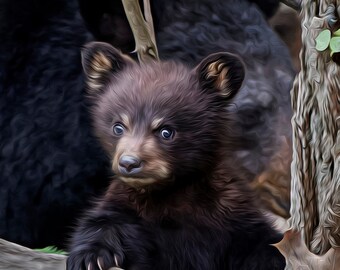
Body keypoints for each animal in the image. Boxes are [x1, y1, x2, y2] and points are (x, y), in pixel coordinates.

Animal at [66, 41, 284, 268]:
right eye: (118, 127)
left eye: (166, 131)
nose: (128, 163)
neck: (171, 194)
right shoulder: (127, 206)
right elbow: (102, 221)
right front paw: (92, 256)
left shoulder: (232, 211)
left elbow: (262, 241)